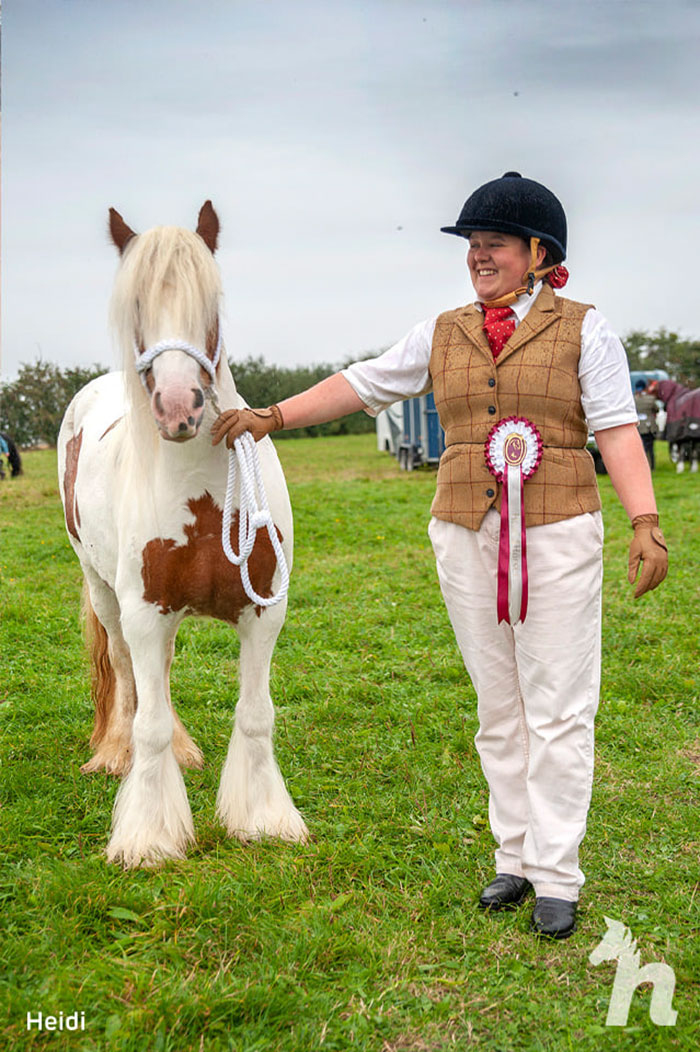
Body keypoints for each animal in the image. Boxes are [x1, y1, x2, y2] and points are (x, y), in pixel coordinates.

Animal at [57, 202, 308, 867]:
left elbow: (256, 714)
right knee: (126, 672)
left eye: (210, 306)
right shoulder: (145, 610)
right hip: (104, 592)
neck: (204, 492)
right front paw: (148, 834)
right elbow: (148, 721)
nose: (179, 407)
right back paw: (114, 753)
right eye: (138, 309)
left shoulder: (263, 611)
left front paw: (263, 818)